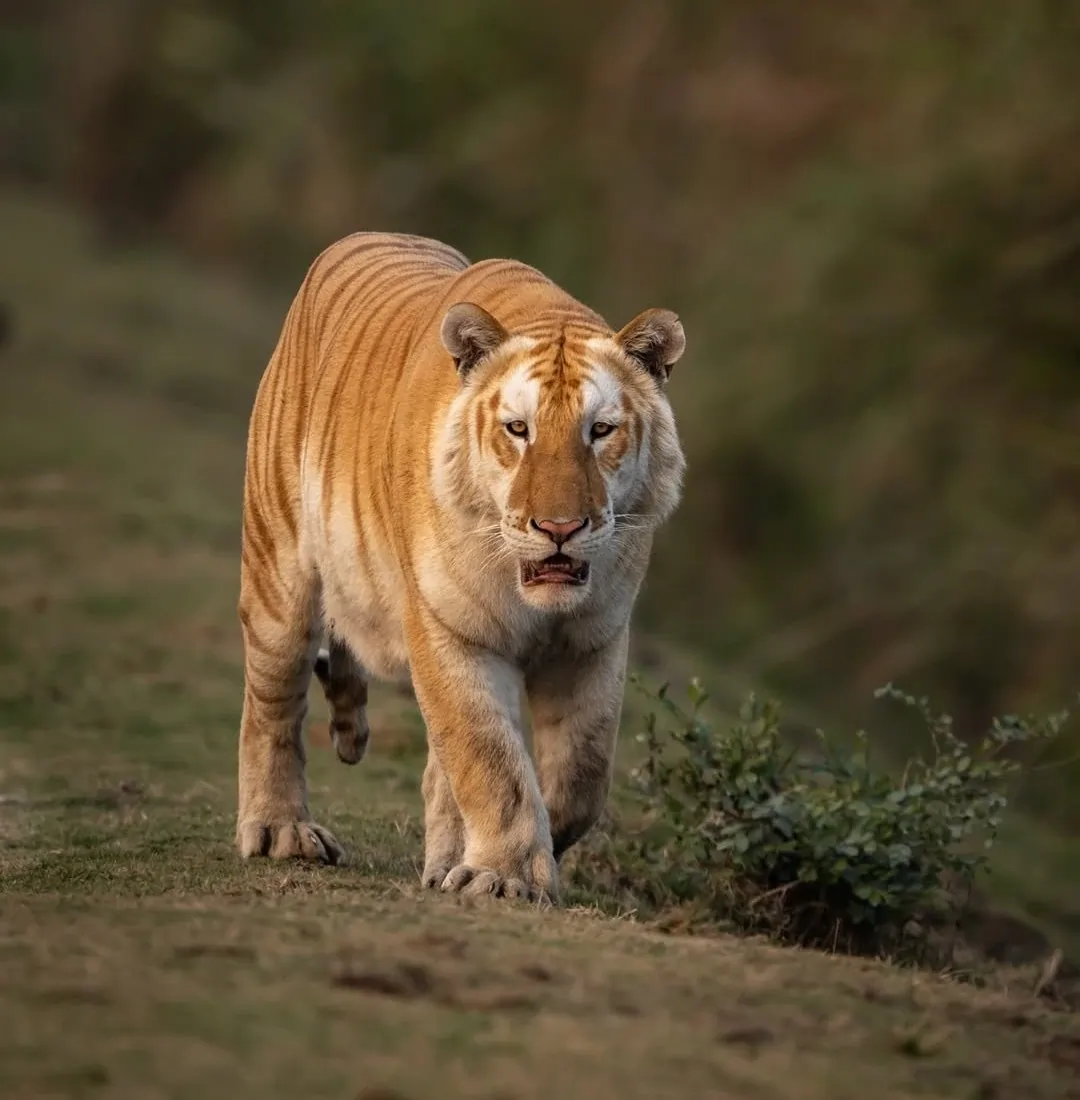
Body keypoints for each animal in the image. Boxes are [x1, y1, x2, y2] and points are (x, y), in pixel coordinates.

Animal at [236, 231, 686, 904]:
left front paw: (493, 862)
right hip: (279, 576)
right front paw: (504, 876)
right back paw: (280, 831)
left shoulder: (594, 640)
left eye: (600, 430)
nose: (559, 528)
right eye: (518, 430)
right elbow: (491, 760)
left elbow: (580, 774)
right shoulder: (450, 629)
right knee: (272, 705)